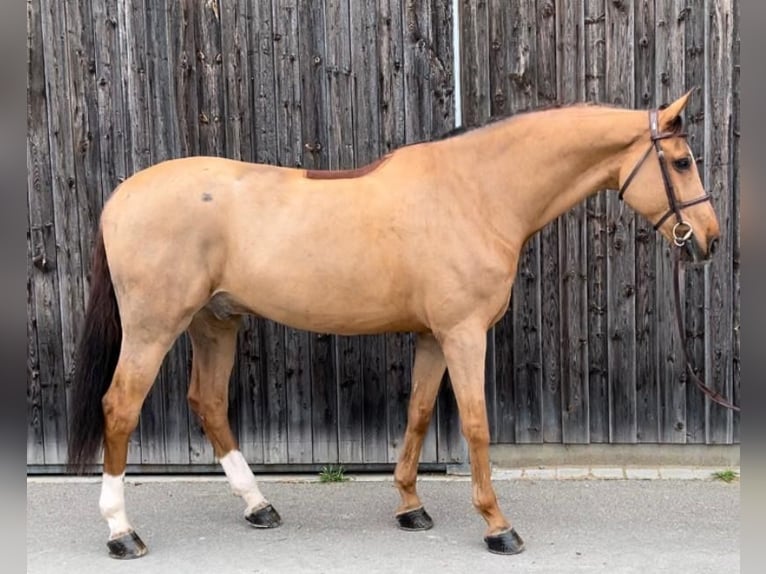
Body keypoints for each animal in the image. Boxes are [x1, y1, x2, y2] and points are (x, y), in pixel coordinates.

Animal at [66, 92, 720, 560]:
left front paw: (411, 508)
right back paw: (121, 532)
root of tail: (120, 197)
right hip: (154, 327)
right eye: (682, 161)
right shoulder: (463, 333)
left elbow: (420, 413)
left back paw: (258, 507)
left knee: (208, 403)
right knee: (120, 408)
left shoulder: (434, 336)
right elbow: (476, 425)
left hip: (215, 322)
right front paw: (497, 525)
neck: (476, 192)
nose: (708, 241)